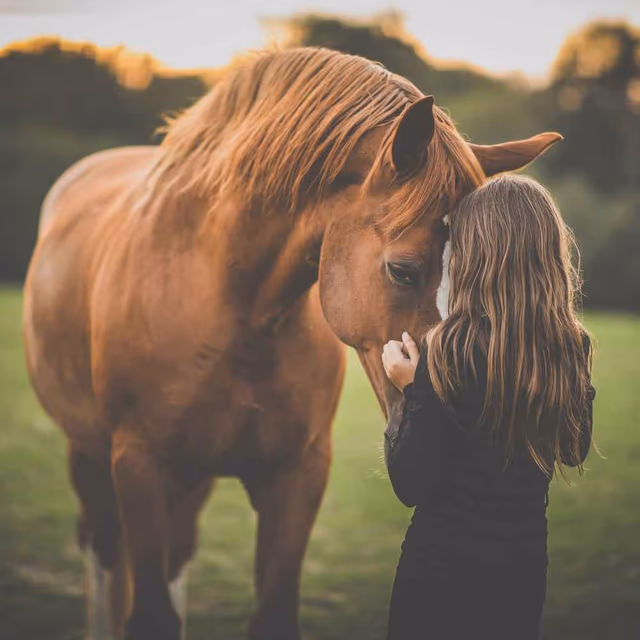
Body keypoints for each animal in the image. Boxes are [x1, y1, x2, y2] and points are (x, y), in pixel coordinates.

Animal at [23, 47, 560, 640]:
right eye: (402, 270)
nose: (466, 419)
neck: (225, 304)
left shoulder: (297, 475)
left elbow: (271, 611)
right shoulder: (139, 466)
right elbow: (150, 614)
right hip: (91, 456)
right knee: (104, 558)